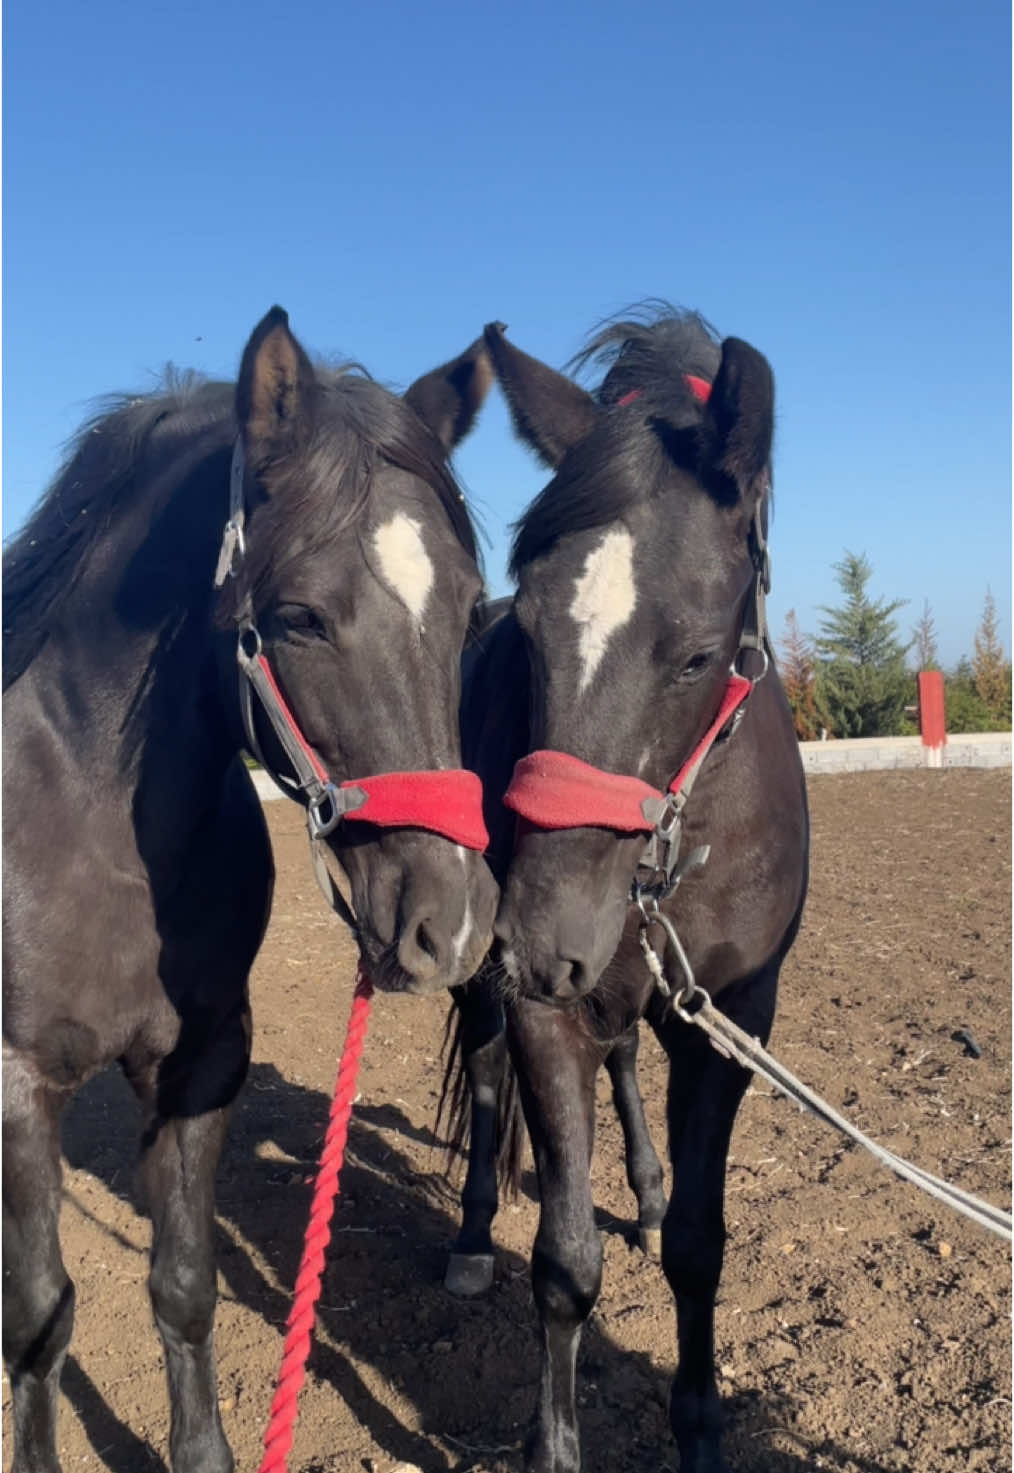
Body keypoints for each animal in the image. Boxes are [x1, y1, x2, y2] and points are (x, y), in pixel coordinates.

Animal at [1, 304, 501, 1467]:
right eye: (303, 616)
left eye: (469, 611)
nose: (450, 925)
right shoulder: (17, 1087)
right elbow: (40, 1317)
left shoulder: (201, 1063)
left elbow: (184, 1286)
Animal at [448, 313, 813, 1473]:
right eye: (529, 633)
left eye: (697, 653)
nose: (540, 937)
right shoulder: (541, 1008)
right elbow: (564, 1263)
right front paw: (553, 1444)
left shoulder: (734, 1017)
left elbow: (700, 1246)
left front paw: (698, 1428)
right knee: (486, 1071)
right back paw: (470, 1232)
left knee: (622, 1065)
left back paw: (644, 1192)